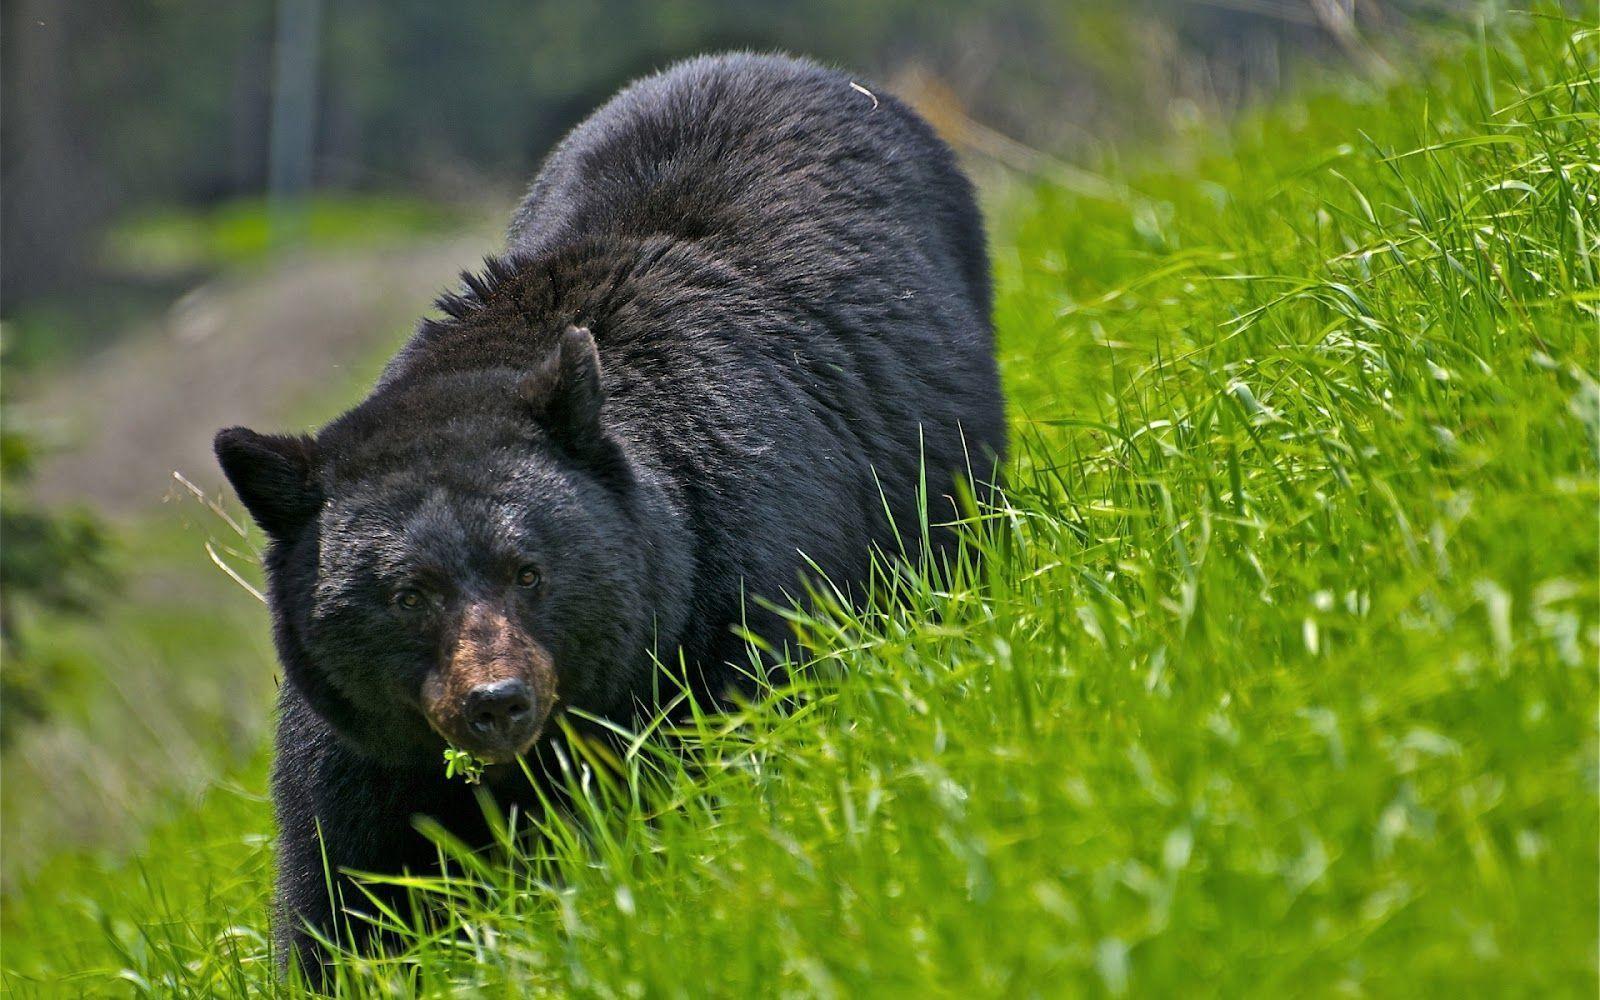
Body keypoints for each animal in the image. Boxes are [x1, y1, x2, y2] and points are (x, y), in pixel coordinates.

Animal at [214, 51, 1006, 980]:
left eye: (529, 572)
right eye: (408, 595)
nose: (496, 703)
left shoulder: (733, 595)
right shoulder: (364, 749)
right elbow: (344, 885)